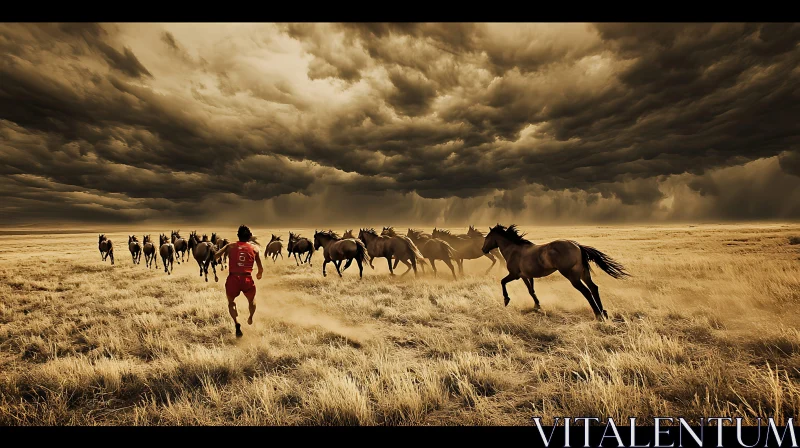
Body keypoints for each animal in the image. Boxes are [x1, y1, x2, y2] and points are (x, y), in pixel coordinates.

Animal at [482, 223, 632, 320]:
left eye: (487, 238)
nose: (483, 250)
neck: (514, 250)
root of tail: (577, 246)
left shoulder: (514, 275)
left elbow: (503, 282)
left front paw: (506, 300)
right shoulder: (526, 276)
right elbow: (531, 291)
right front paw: (537, 305)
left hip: (572, 276)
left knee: (586, 291)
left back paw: (598, 315)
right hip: (584, 274)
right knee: (594, 288)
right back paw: (603, 312)